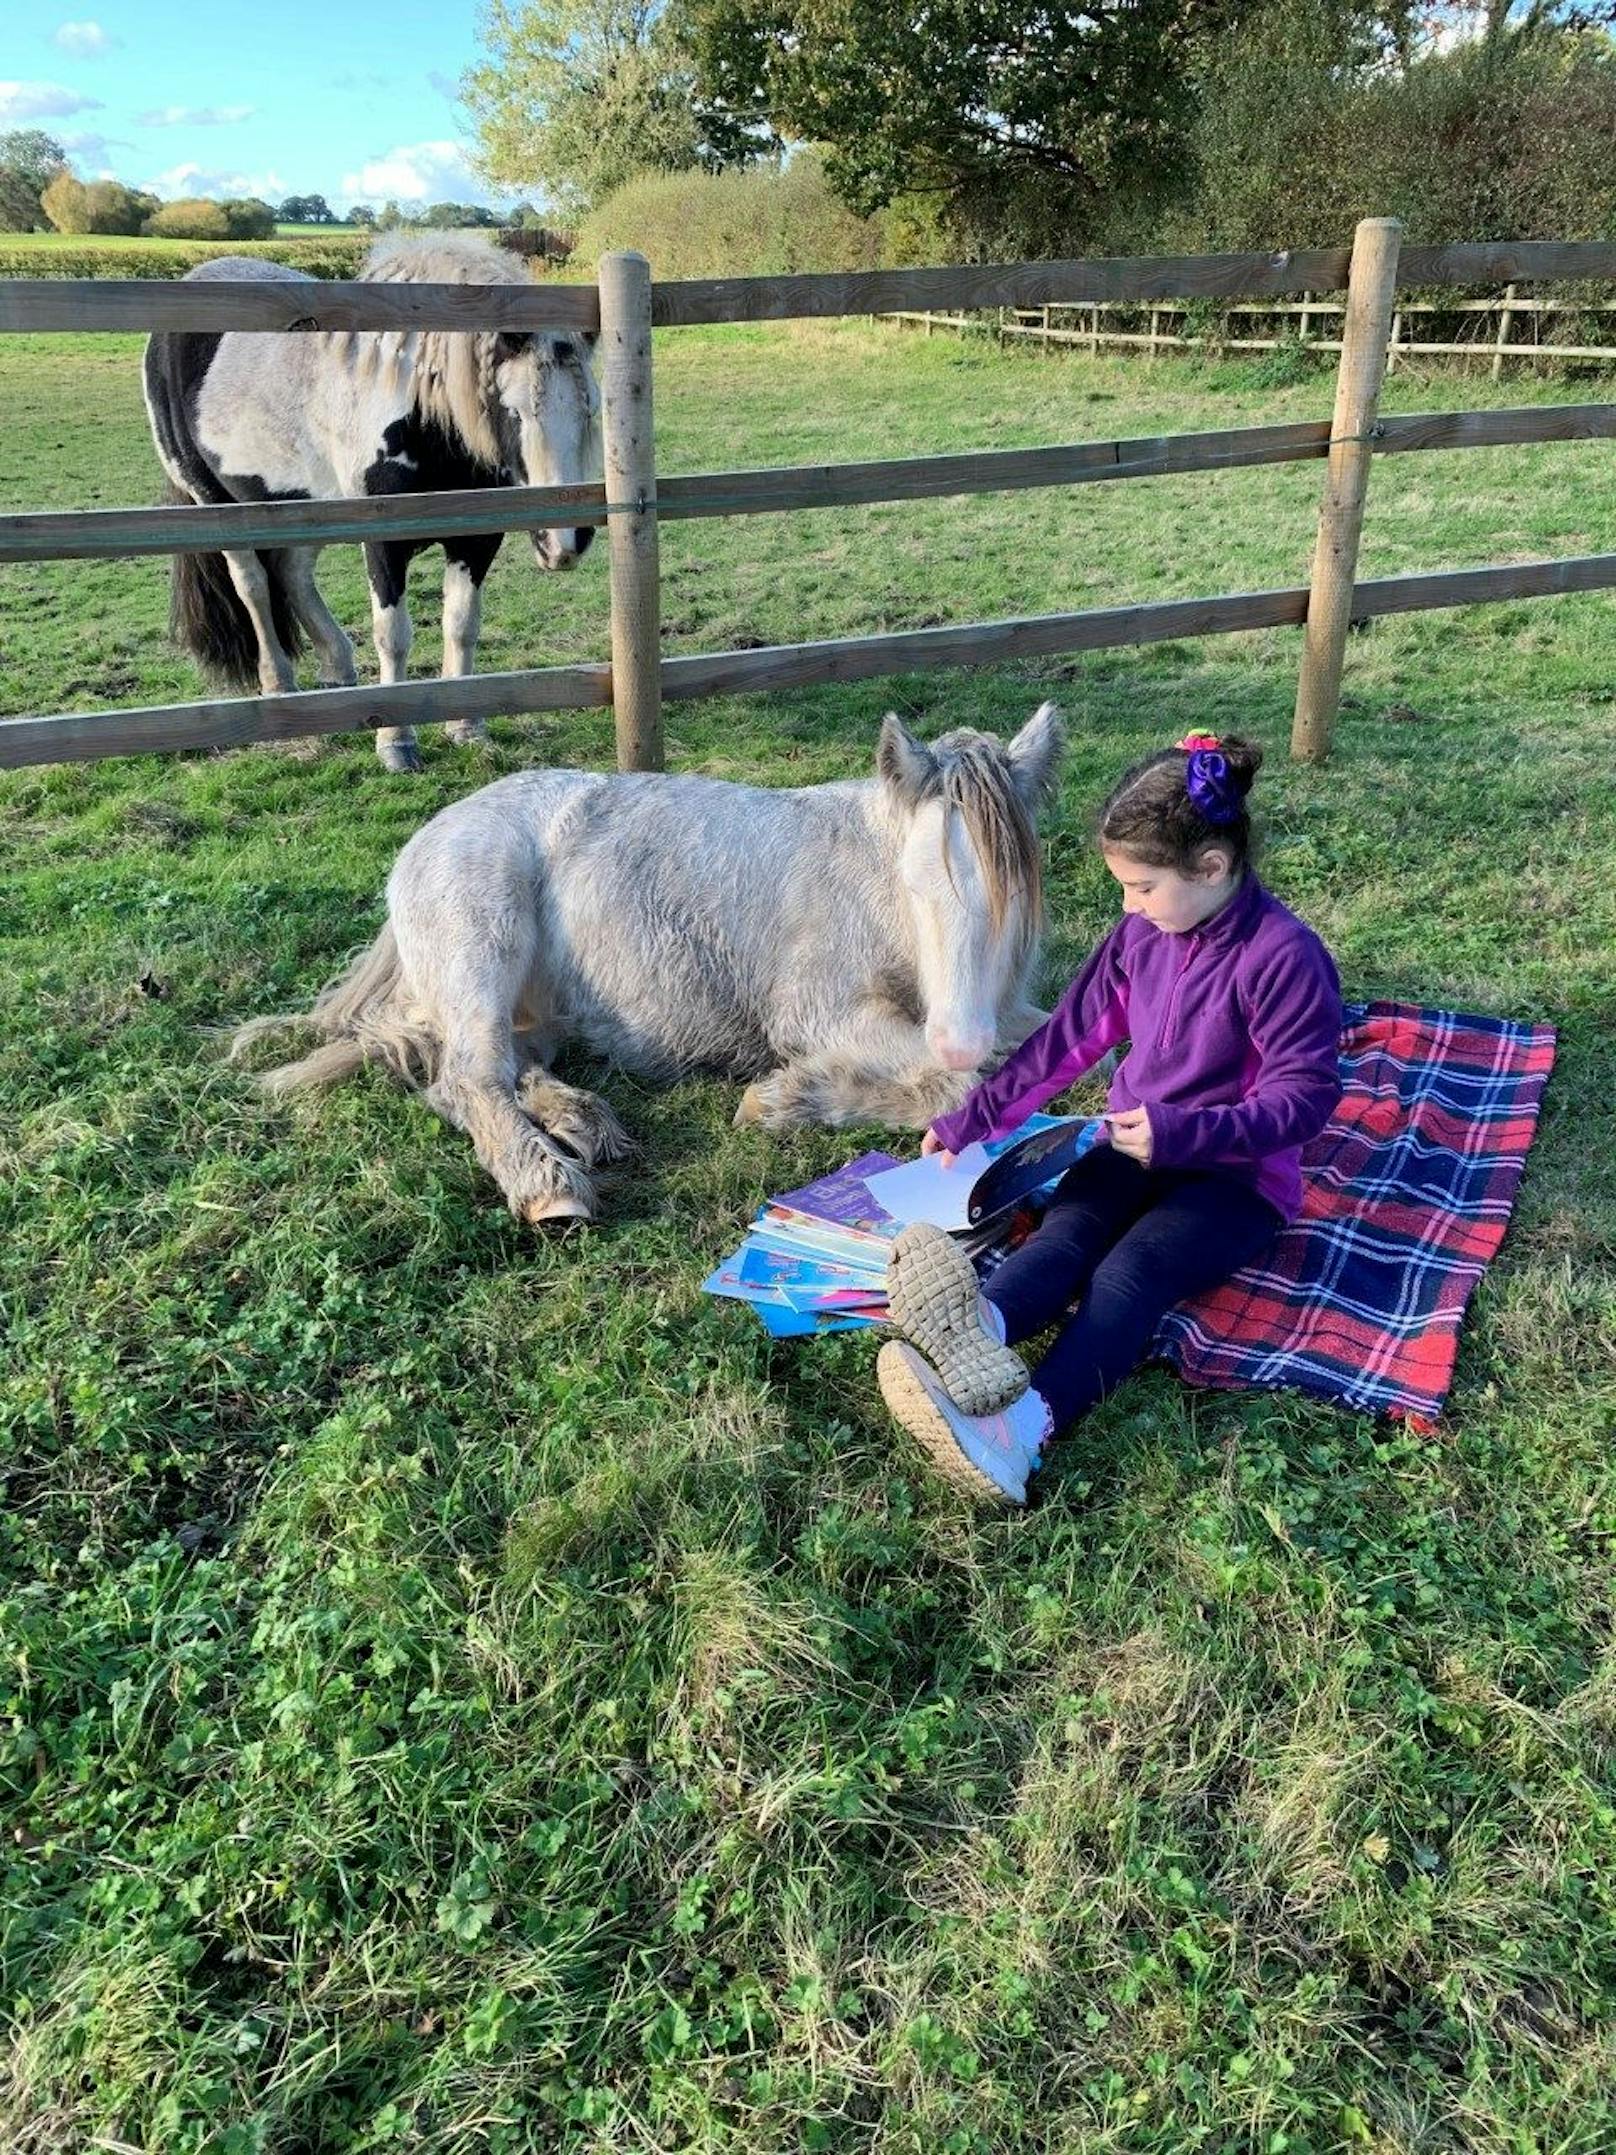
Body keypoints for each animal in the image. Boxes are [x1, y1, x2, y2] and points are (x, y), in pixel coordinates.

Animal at [142, 234, 603, 771]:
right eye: (513, 410)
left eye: (590, 409)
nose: (565, 541)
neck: (420, 409)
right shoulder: (383, 543)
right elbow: (393, 635)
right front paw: (396, 742)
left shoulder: (477, 539)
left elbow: (462, 625)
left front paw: (467, 726)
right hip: (214, 501)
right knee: (253, 585)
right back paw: (278, 683)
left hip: (306, 503)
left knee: (293, 574)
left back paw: (338, 671)